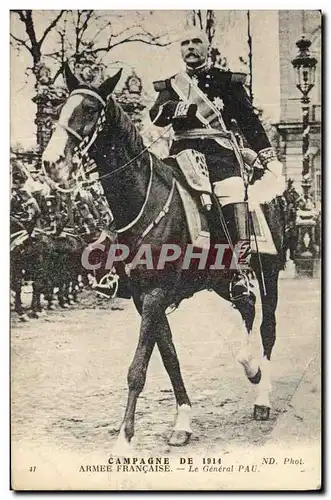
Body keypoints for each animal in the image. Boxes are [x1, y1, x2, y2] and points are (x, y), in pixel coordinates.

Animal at [42, 64, 288, 452]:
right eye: (62, 109)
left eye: (90, 110)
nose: (52, 162)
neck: (144, 197)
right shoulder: (145, 299)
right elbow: (169, 357)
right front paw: (183, 421)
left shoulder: (156, 295)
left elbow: (138, 368)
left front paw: (123, 439)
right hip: (224, 280)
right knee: (246, 306)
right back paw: (250, 366)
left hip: (270, 275)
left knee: (268, 328)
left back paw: (262, 395)